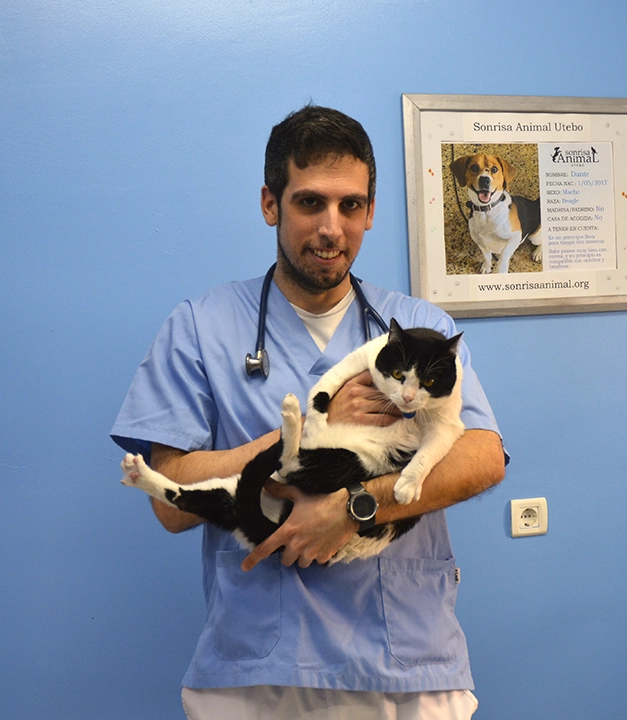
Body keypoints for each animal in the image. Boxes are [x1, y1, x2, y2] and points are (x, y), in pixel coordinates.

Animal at [121, 320, 466, 564]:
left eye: (429, 381)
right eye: (396, 373)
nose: (407, 398)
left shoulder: (448, 424)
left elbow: (429, 452)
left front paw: (408, 485)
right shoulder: (361, 358)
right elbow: (324, 387)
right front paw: (314, 420)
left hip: (349, 461)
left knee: (281, 467)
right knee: (189, 496)